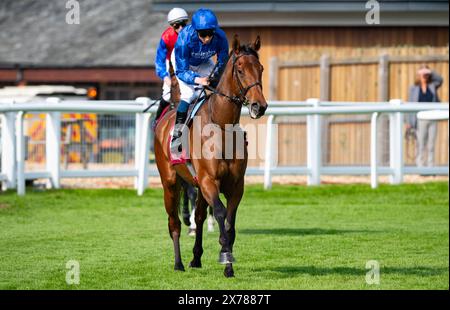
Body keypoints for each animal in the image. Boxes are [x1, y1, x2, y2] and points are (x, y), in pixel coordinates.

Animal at [155, 35, 268, 278]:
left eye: (261, 68)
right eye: (240, 69)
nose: (259, 106)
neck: (221, 127)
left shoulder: (236, 185)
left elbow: (229, 223)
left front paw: (228, 265)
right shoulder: (208, 181)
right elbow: (220, 212)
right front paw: (225, 255)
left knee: (198, 216)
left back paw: (195, 258)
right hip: (170, 182)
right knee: (174, 222)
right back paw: (178, 263)